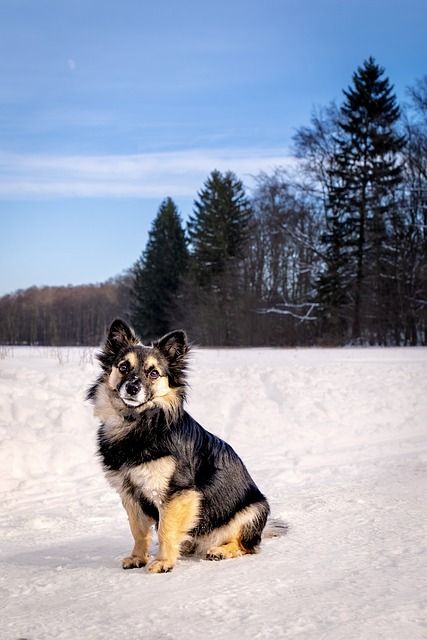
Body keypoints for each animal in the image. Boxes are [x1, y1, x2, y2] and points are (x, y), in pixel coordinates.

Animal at [88, 318, 286, 572]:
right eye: (123, 367)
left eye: (154, 373)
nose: (132, 388)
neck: (139, 423)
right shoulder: (130, 494)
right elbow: (138, 531)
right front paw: (138, 557)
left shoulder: (176, 492)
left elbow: (165, 530)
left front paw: (163, 562)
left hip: (254, 510)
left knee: (246, 545)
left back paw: (221, 550)